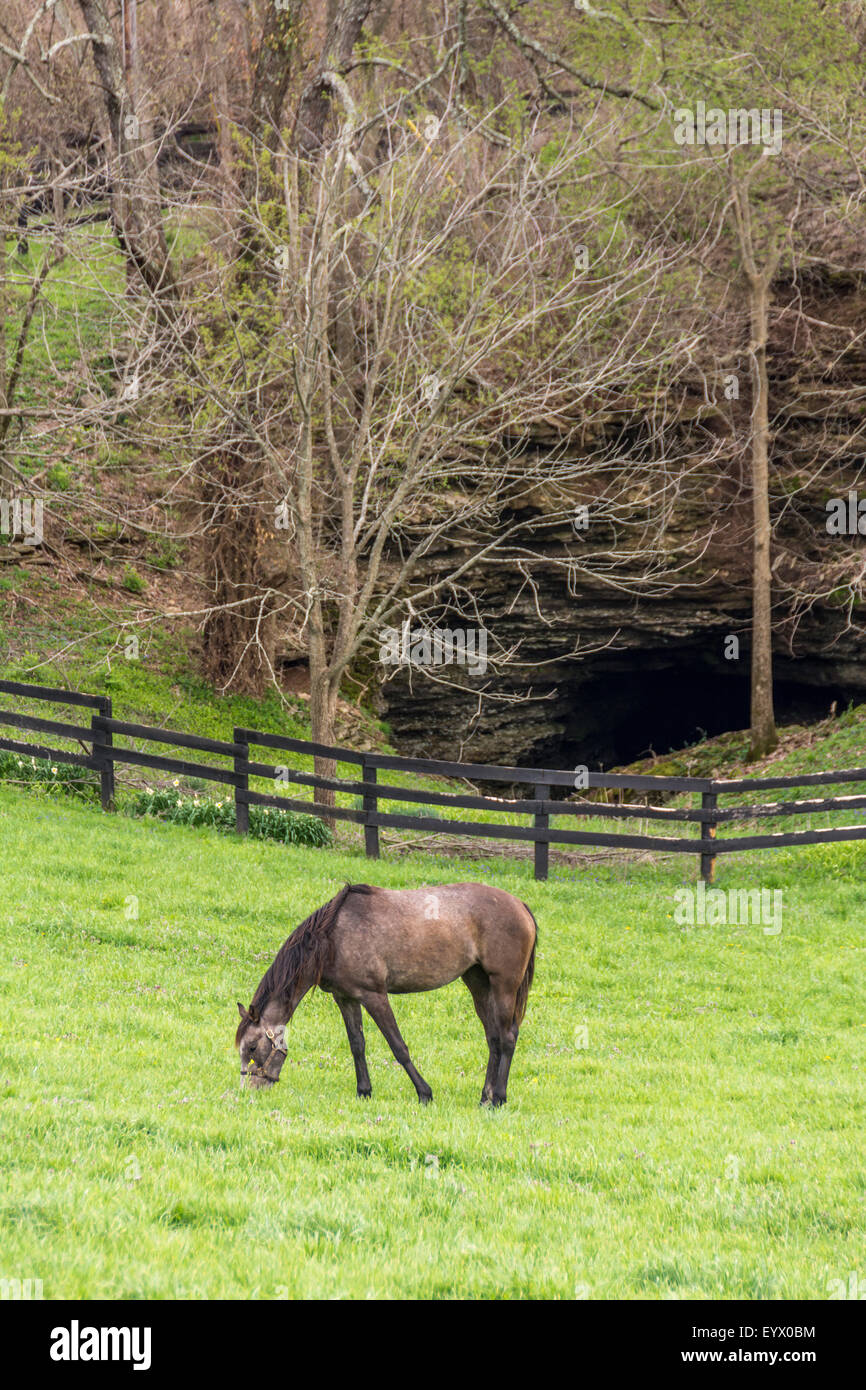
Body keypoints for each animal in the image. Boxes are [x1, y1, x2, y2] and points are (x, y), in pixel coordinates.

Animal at [235, 882, 537, 1107]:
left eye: (251, 1048)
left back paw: (498, 1098)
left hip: (504, 985)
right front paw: (364, 1091)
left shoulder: (374, 995)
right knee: (494, 1038)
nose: (249, 1088)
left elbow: (398, 1046)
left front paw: (424, 1093)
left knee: (507, 1038)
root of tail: (520, 905)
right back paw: (485, 1098)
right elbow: (357, 1044)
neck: (333, 938)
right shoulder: (345, 998)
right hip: (478, 983)